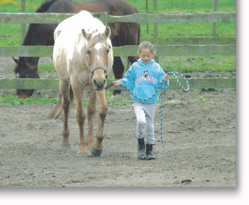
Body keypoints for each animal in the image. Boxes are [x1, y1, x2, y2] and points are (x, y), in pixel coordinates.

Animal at [53, 10, 114, 156]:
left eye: (107, 50)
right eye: (88, 51)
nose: (99, 80)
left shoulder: (98, 85)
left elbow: (100, 110)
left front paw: (96, 146)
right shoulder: (76, 85)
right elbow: (80, 116)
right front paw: (82, 148)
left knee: (90, 111)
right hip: (64, 81)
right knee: (65, 105)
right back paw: (65, 141)